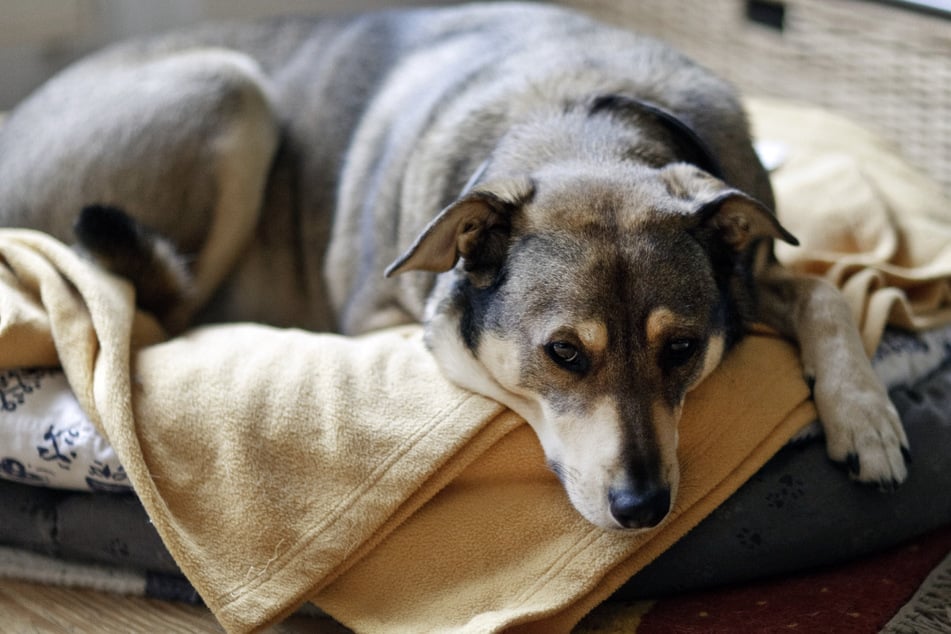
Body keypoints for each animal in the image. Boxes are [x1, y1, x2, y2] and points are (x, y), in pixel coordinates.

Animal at [0, 2, 912, 532]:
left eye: (682, 349)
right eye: (562, 354)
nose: (643, 509)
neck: (579, 116)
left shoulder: (746, 274)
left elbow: (824, 288)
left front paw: (864, 419)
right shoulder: (388, 318)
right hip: (230, 90)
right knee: (154, 314)